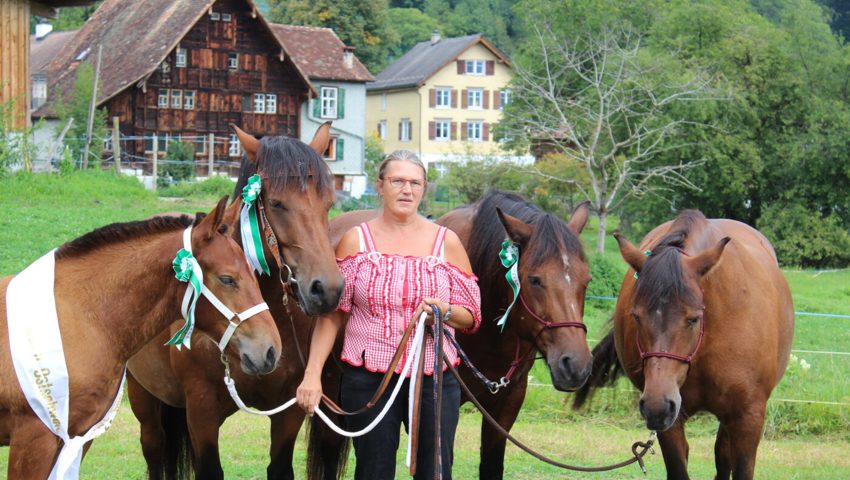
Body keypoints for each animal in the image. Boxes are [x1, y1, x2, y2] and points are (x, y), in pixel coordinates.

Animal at [126, 124, 344, 480]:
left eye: (328, 204)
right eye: (276, 203)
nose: (326, 289)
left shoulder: (289, 411)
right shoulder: (202, 411)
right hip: (142, 396)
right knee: (154, 449)